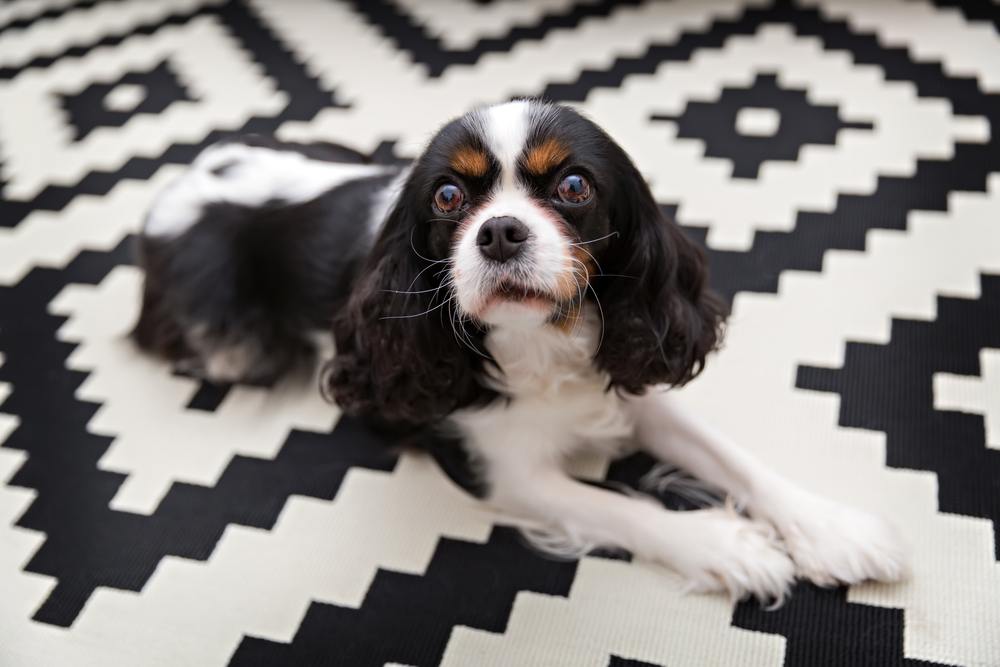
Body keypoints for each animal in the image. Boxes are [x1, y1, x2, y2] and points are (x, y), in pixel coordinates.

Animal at [133, 100, 908, 604]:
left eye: (573, 186)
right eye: (448, 196)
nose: (500, 231)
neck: (541, 340)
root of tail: (179, 182)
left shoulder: (625, 380)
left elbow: (730, 456)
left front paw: (831, 528)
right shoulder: (502, 473)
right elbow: (619, 507)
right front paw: (728, 547)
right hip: (226, 333)